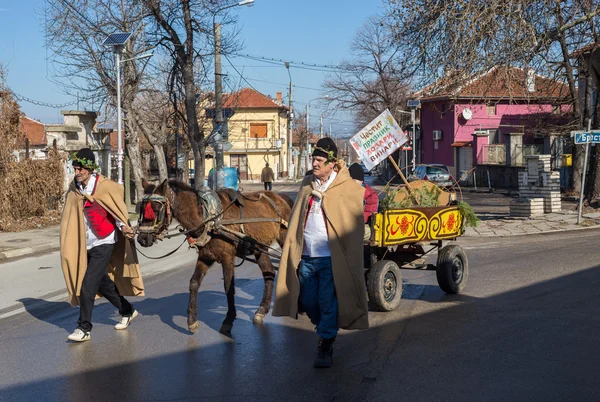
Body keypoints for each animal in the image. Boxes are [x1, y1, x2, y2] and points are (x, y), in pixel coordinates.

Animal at [137, 181, 296, 334]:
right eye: (141, 209)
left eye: (155, 209)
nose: (142, 239)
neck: (209, 219)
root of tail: (282, 198)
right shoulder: (205, 256)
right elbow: (194, 283)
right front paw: (192, 321)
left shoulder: (227, 257)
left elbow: (228, 287)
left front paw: (228, 320)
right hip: (260, 249)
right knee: (269, 272)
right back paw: (262, 310)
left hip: (284, 238)